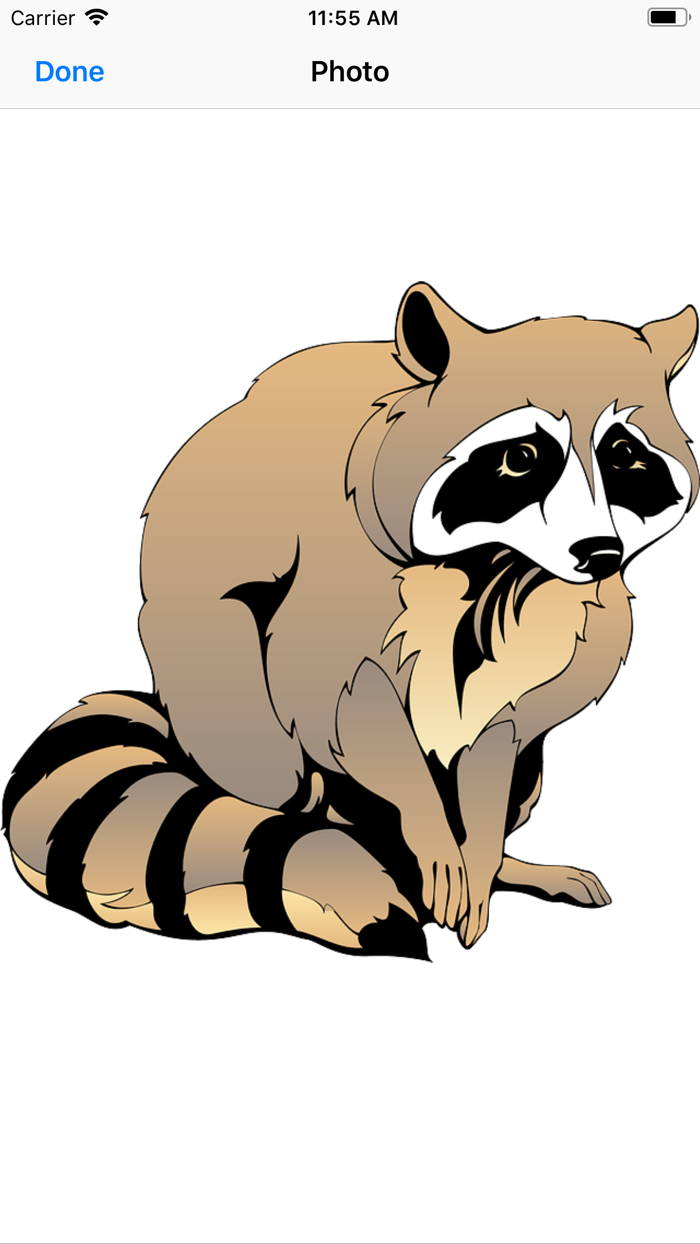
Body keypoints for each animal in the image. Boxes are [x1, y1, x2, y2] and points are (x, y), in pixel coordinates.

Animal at [4, 285, 697, 959]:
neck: (494, 566)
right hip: (217, 686)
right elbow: (348, 706)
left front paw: (477, 854)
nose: (601, 554)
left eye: (623, 456)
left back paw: (498, 862)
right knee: (262, 734)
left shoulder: (553, 629)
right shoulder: (334, 581)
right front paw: (431, 831)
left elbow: (499, 734)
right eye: (522, 457)